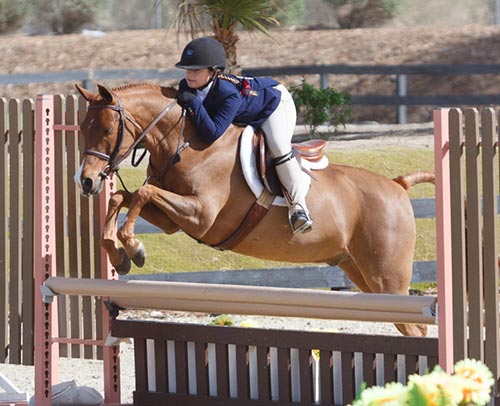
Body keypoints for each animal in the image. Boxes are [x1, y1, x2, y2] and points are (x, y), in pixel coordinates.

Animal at [73, 82, 434, 336]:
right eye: (82, 128)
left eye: (107, 130)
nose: (86, 182)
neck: (186, 144)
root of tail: (397, 185)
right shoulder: (174, 220)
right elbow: (124, 197)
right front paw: (120, 253)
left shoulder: (201, 215)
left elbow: (143, 192)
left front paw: (134, 247)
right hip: (359, 271)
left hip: (387, 278)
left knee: (417, 326)